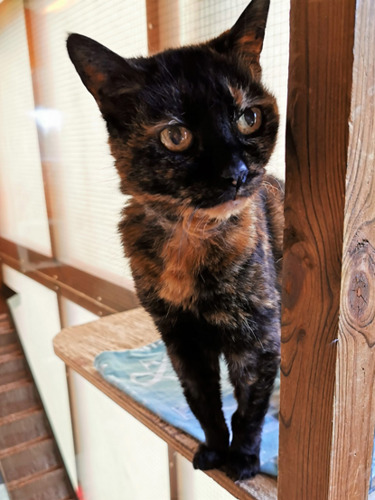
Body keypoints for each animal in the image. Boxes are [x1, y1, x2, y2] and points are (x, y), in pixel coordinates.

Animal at [68, 0, 284, 478]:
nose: (237, 172)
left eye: (249, 117)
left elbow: (250, 406)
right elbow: (203, 402)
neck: (191, 237)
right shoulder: (179, 339)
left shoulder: (257, 338)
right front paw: (214, 450)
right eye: (175, 135)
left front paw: (243, 459)